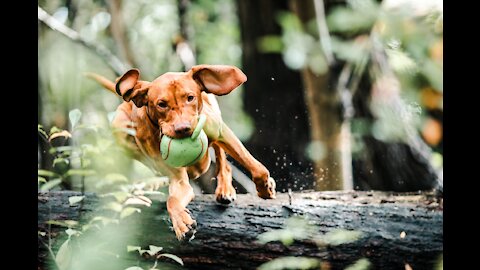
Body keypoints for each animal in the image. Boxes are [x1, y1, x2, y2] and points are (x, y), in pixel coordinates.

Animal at [86, 65, 274, 240]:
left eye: (190, 98)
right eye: (162, 104)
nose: (183, 128)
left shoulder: (221, 132)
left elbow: (256, 168)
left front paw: (265, 188)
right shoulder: (178, 178)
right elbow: (172, 199)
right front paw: (181, 223)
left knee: (222, 158)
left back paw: (225, 189)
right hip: (120, 128)